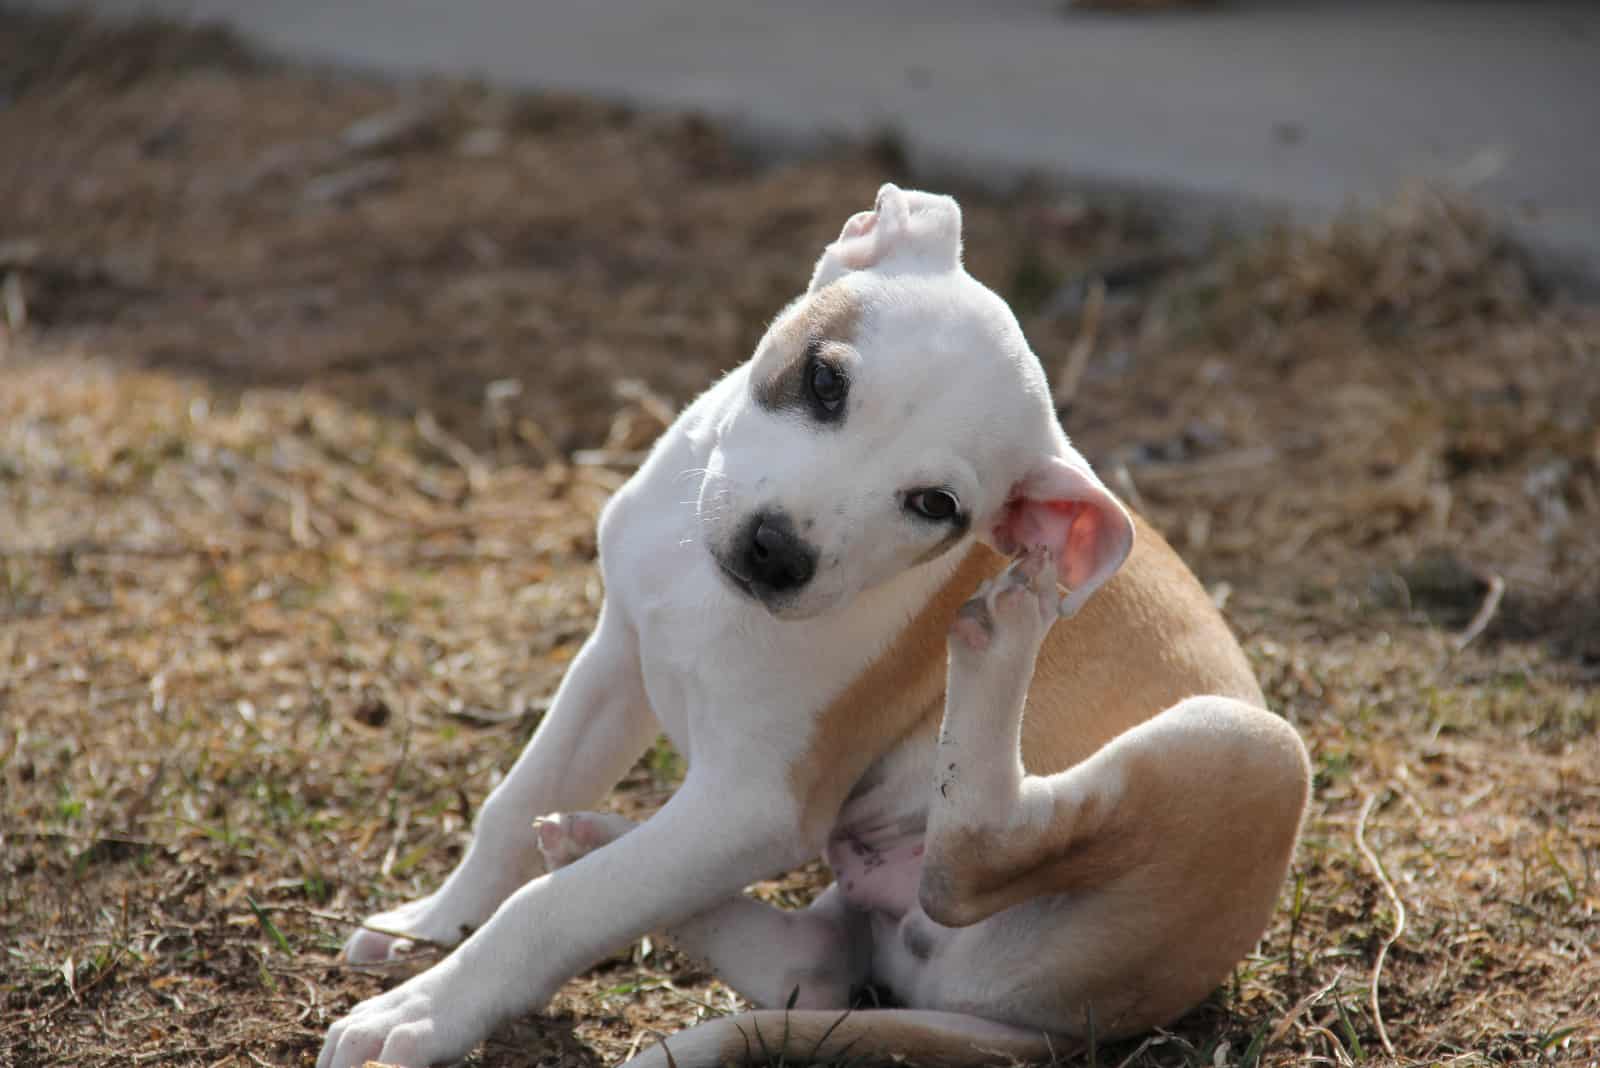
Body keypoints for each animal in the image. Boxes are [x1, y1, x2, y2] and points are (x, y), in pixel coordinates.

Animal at [315, 185, 1312, 1068]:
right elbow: (516, 802)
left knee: (972, 859)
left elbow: (557, 910)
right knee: (819, 967)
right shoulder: (620, 654)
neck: (710, 590)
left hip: (1252, 748)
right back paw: (592, 838)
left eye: (936, 505)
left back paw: (1004, 637)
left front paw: (424, 1013)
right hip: (864, 902)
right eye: (825, 380)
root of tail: (1072, 1028)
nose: (775, 552)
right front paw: (430, 927)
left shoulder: (753, 804)